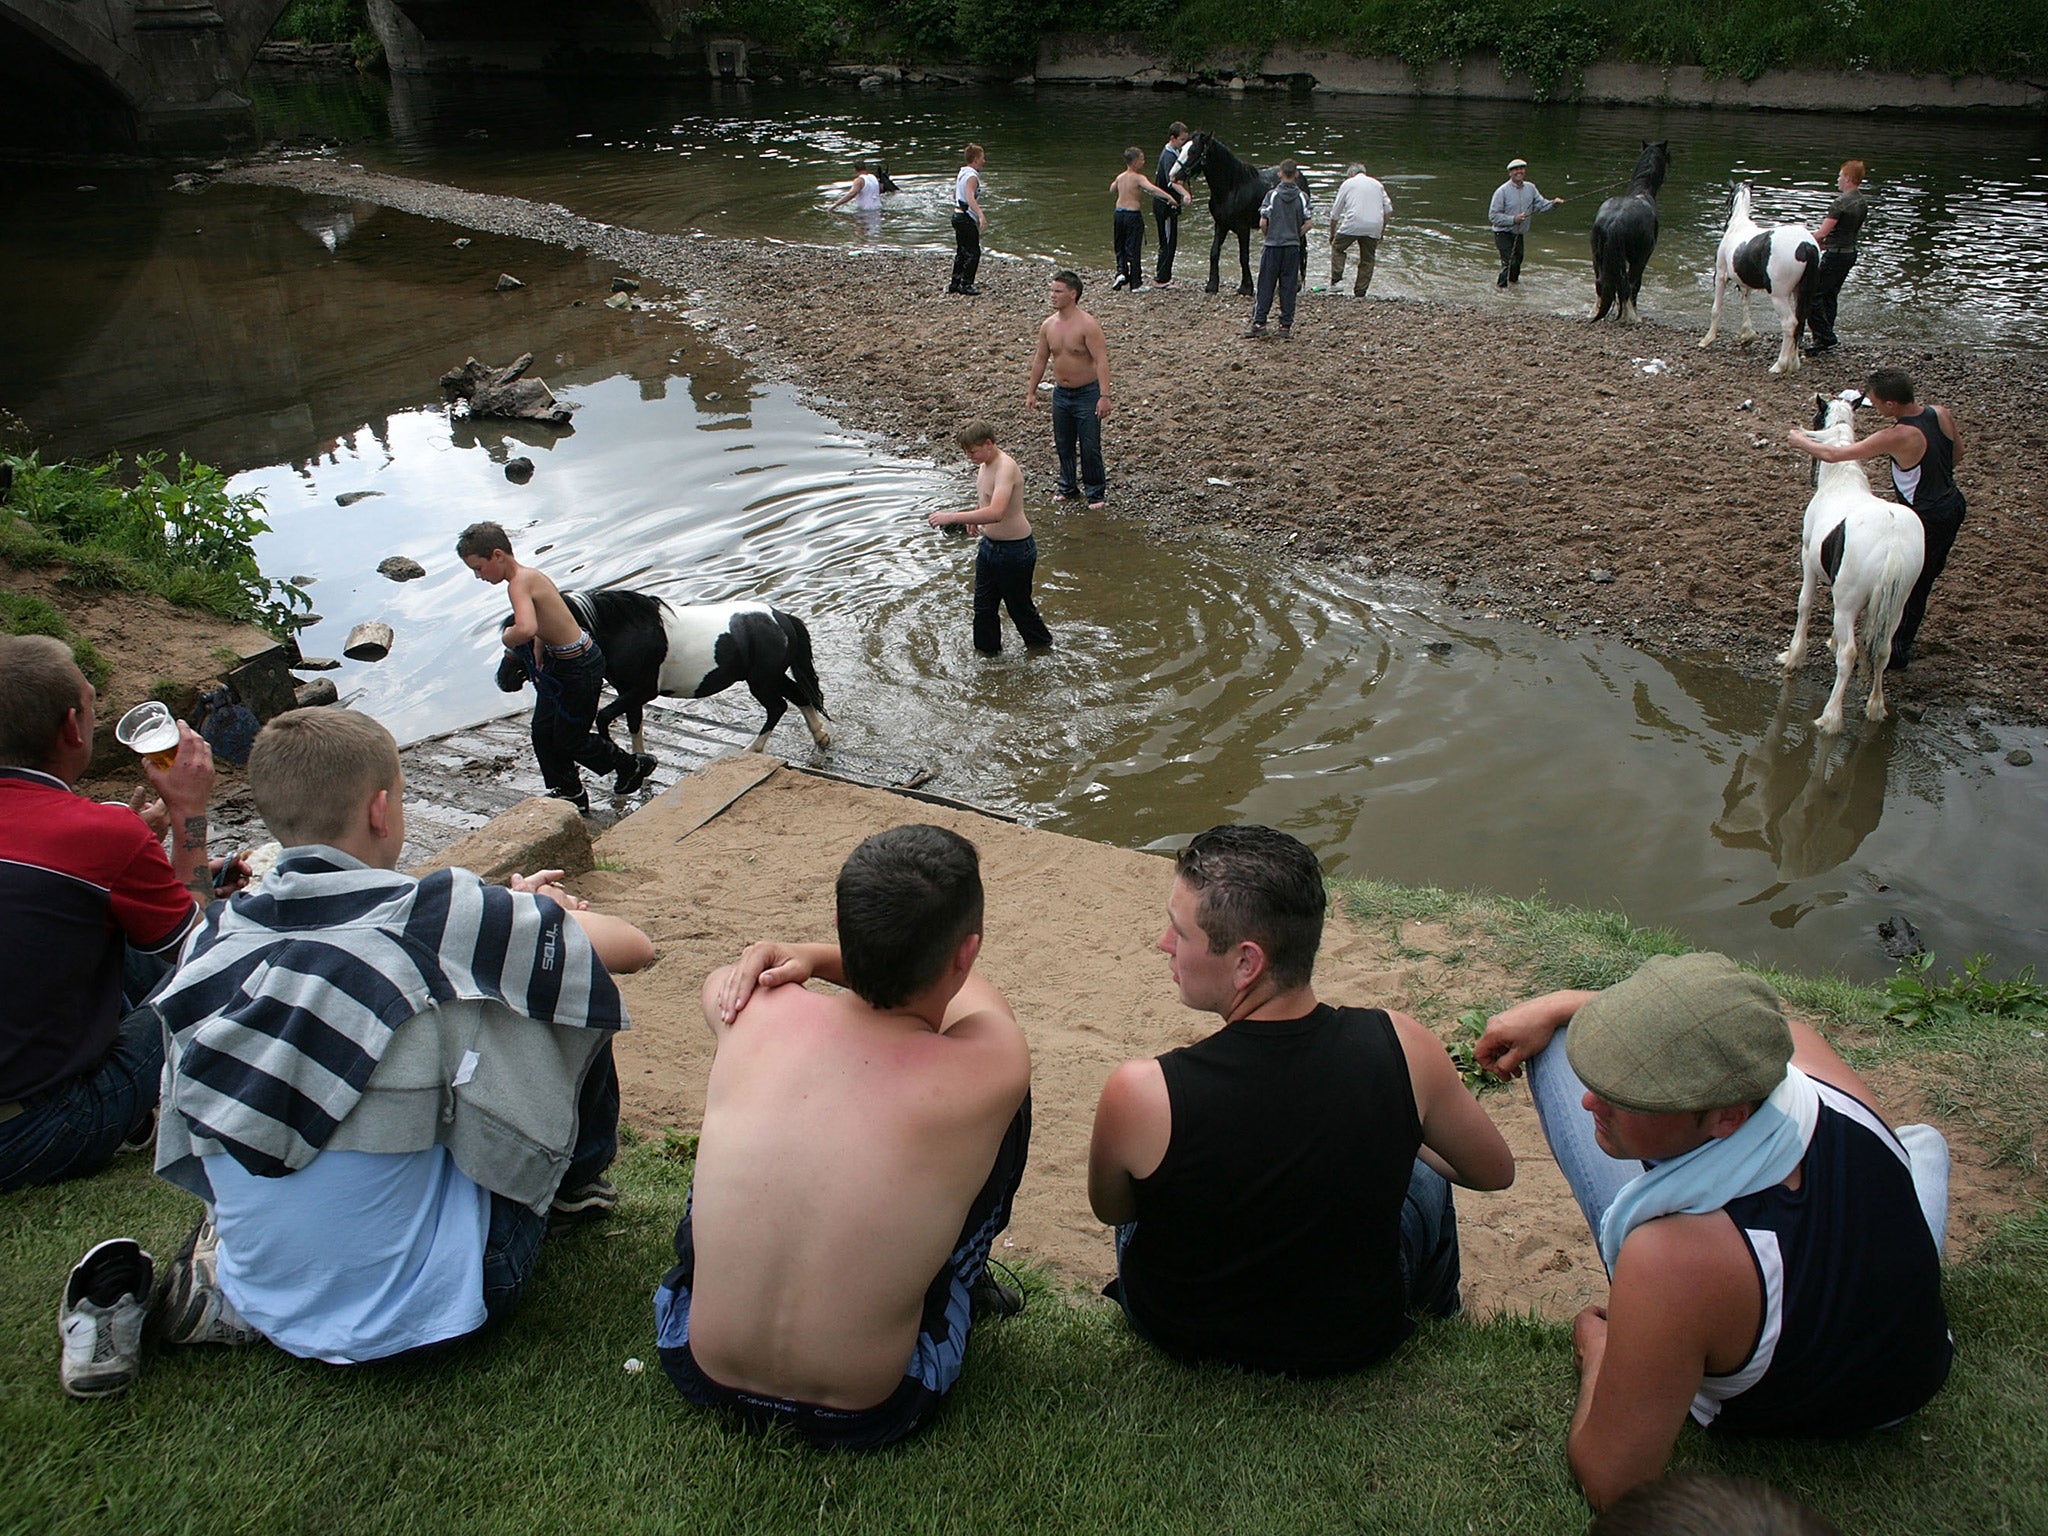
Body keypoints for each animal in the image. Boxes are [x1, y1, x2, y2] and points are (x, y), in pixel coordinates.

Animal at [499, 589, 827, 757]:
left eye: (519, 639)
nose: (503, 679)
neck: (627, 632)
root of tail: (781, 618)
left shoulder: (642, 691)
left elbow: (604, 717)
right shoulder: (628, 693)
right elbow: (634, 724)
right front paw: (639, 762)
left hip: (761, 681)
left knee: (778, 707)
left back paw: (753, 748)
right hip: (770, 676)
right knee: (799, 696)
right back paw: (821, 737)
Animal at [1171, 130, 1310, 296]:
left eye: (1192, 151)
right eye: (1181, 149)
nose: (1173, 175)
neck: (1231, 189)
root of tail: (1299, 175)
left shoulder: (1243, 228)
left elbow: (1243, 256)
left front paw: (1246, 288)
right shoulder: (1221, 225)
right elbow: (1214, 253)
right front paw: (1212, 285)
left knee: (1300, 249)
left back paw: (1296, 285)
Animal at [1589, 140, 1671, 323]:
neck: (1642, 192)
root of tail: (1613, 223)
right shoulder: (1642, 257)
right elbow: (1635, 285)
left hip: (1597, 257)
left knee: (1600, 283)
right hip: (1636, 258)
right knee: (1628, 284)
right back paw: (1631, 316)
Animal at [1703, 181, 1818, 378]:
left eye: (1728, 199)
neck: (1738, 225)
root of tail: (1805, 245)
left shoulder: (1721, 276)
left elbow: (1716, 309)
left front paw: (1707, 339)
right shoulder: (1743, 283)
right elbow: (1745, 303)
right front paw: (1746, 336)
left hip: (1779, 296)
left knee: (1790, 324)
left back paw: (1779, 365)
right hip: (1801, 292)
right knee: (1800, 322)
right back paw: (1793, 364)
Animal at [1777, 393, 1916, 737]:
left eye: (1815, 419)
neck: (1841, 480)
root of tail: (1893, 544)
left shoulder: (1808, 558)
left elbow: (1805, 603)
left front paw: (1793, 655)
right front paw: (1829, 640)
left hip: (1850, 600)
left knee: (1849, 656)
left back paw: (1830, 717)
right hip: (1898, 602)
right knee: (1882, 650)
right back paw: (1875, 708)